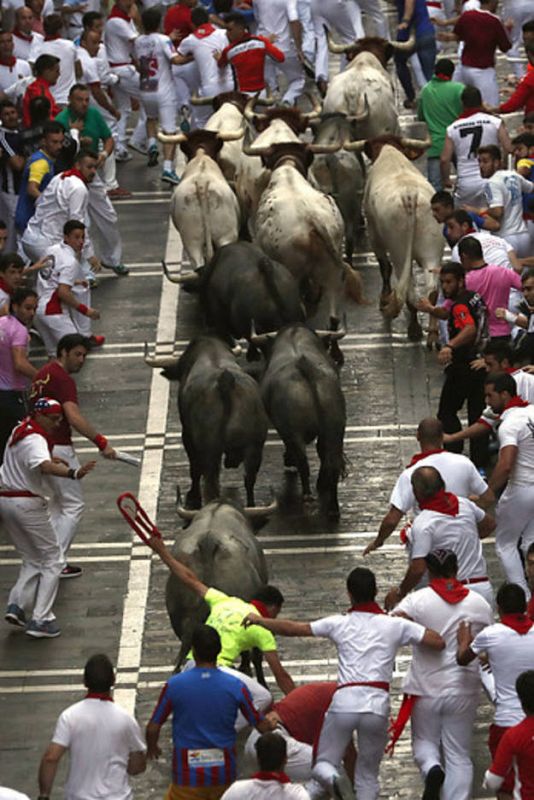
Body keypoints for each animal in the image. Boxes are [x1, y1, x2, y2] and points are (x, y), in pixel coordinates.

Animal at [144, 336, 270, 506]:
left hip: (210, 450)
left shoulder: (187, 435)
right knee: (249, 481)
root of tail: (226, 383)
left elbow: (195, 468)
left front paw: (193, 496)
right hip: (254, 447)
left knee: (210, 483)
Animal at [253, 324, 350, 520]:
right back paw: (332, 506)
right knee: (331, 461)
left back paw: (307, 495)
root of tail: (306, 370)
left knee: (303, 461)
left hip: (294, 430)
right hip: (335, 428)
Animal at [346, 135, 446, 340]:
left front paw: (384, 300)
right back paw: (431, 334)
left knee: (406, 289)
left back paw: (414, 328)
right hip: (432, 251)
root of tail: (410, 195)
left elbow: (384, 267)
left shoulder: (374, 236)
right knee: (431, 291)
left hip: (399, 252)